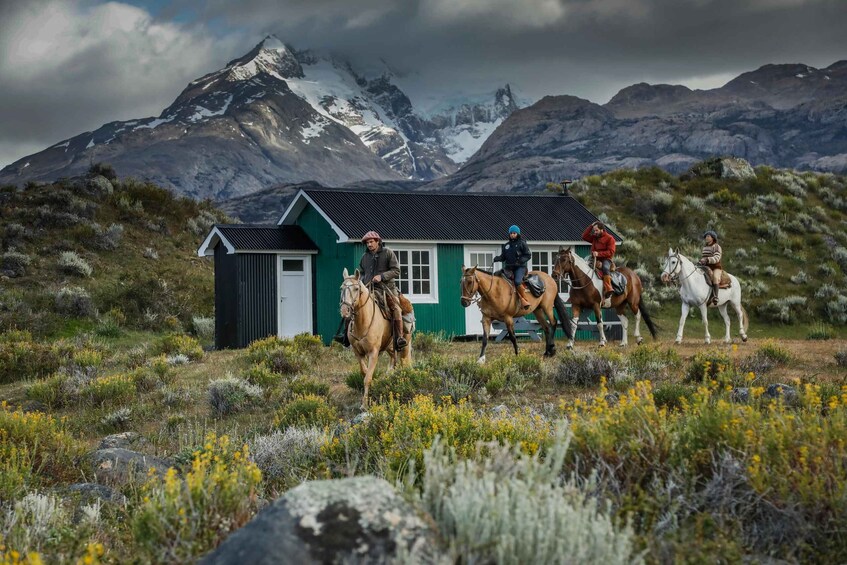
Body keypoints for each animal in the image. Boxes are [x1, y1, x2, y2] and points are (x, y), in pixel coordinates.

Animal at [342, 266, 414, 408]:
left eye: (356, 288)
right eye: (342, 288)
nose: (344, 310)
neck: (363, 321)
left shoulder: (373, 352)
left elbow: (368, 378)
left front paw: (364, 405)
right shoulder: (358, 353)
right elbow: (365, 373)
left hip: (405, 345)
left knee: (405, 363)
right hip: (389, 347)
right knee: (392, 361)